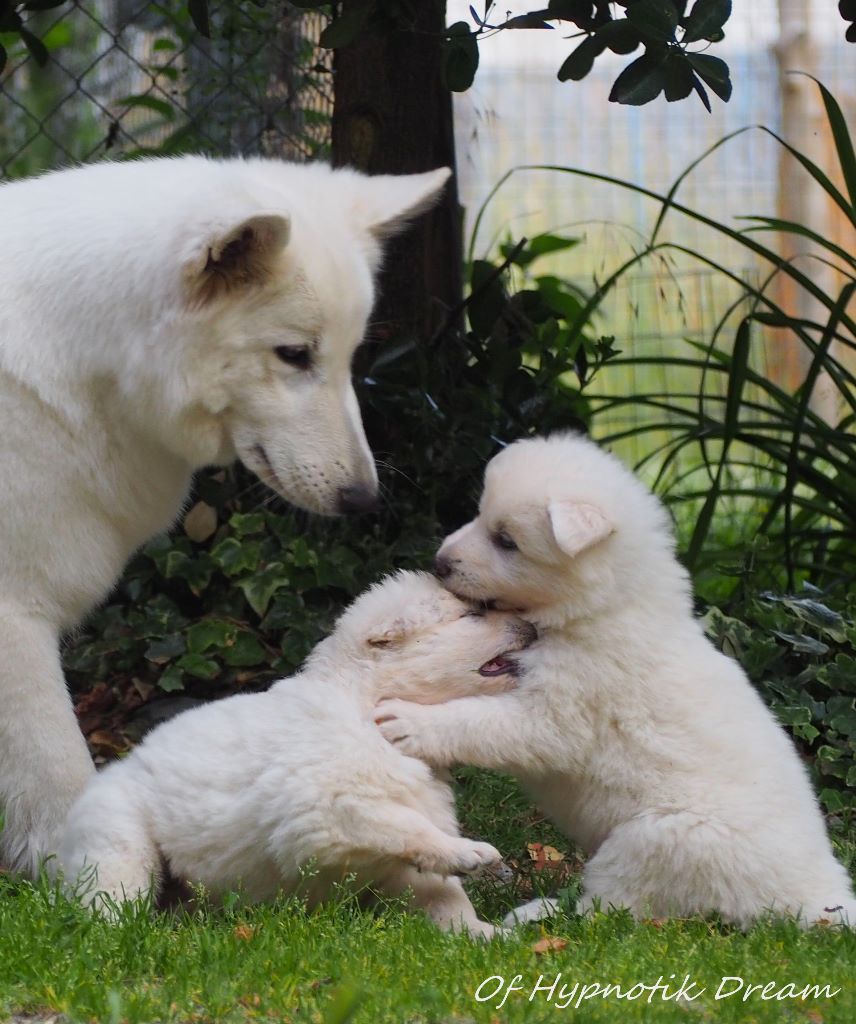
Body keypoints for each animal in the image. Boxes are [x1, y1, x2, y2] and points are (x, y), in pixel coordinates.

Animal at [0, 155, 450, 876]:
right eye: (294, 354)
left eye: (350, 355)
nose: (363, 499)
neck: (90, 357)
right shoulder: (15, 620)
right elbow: (60, 778)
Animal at [55, 569, 536, 937]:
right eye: (473, 615)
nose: (533, 626)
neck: (364, 707)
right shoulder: (323, 812)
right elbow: (403, 825)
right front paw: (469, 853)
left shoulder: (401, 855)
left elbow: (444, 895)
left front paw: (486, 934)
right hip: (120, 845)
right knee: (109, 905)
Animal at [378, 432, 855, 929]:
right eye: (479, 514)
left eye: (506, 540)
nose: (439, 563)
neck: (600, 607)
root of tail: (818, 899)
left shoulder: (558, 712)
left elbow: (482, 722)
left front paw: (408, 722)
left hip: (655, 840)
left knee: (606, 909)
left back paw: (536, 913)